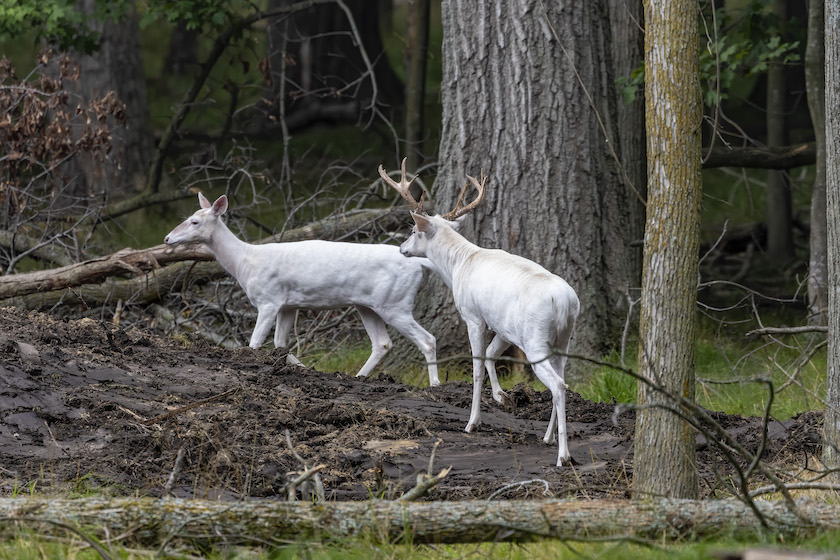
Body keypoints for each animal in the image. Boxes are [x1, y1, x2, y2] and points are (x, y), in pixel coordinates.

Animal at [163, 191, 440, 384]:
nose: (166, 238)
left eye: (195, 222)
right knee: (382, 343)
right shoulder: (288, 304)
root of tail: (419, 263)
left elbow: (254, 343)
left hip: (395, 302)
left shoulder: (268, 299)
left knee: (427, 339)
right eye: (187, 219)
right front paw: (304, 369)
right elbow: (279, 344)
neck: (245, 263)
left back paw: (434, 385)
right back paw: (358, 377)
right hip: (368, 305)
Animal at [378, 160, 576, 466]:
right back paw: (548, 437)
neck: (459, 263)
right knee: (564, 378)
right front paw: (501, 396)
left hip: (535, 338)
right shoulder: (502, 325)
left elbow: (476, 367)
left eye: (412, 230)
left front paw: (473, 422)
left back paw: (563, 455)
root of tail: (564, 302)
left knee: (557, 385)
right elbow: (492, 356)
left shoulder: (473, 316)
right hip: (563, 339)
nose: (401, 249)